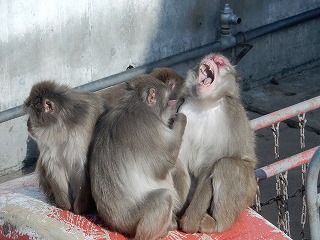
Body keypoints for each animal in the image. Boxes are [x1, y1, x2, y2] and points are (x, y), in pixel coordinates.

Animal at [23, 80, 109, 214]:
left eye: (31, 113)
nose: (27, 124)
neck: (60, 129)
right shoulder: (45, 140)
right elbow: (53, 165)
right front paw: (65, 206)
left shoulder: (83, 129)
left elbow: (81, 167)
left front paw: (79, 209)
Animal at [89, 75, 186, 240]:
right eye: (169, 100)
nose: (174, 105)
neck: (136, 106)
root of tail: (116, 226)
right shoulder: (151, 128)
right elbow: (164, 164)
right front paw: (182, 117)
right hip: (131, 220)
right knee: (164, 197)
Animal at [175, 54, 258, 232]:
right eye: (211, 57)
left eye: (220, 63)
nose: (214, 57)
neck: (204, 104)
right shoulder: (181, 112)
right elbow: (179, 163)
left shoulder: (231, 113)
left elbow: (210, 169)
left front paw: (189, 223)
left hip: (248, 191)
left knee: (227, 165)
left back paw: (217, 223)